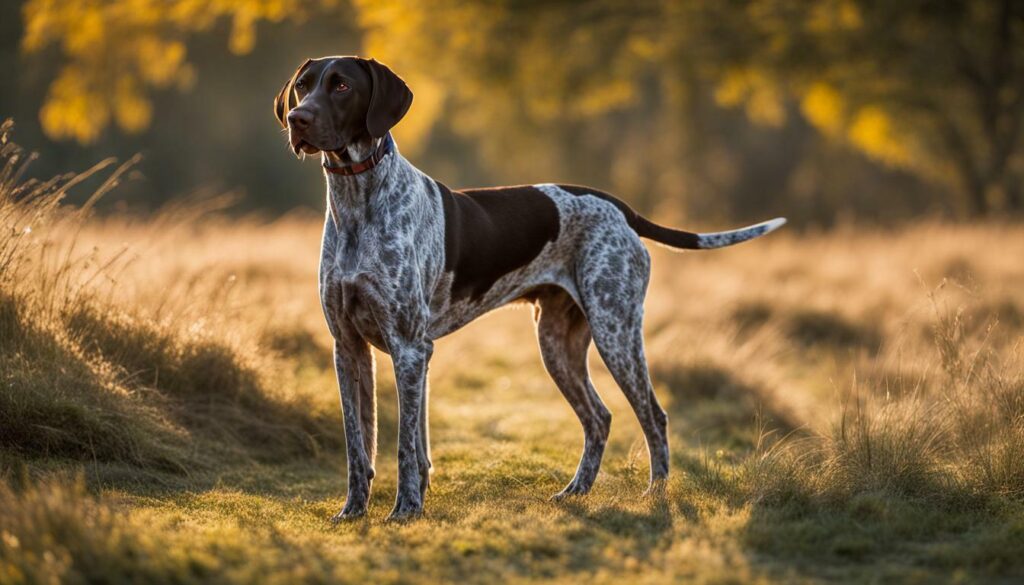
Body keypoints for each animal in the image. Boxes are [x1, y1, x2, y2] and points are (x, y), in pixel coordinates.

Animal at [272, 57, 782, 520]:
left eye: (341, 86)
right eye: (302, 86)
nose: (298, 120)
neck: (357, 205)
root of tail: (619, 206)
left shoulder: (410, 349)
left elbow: (404, 448)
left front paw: (406, 511)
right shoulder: (349, 348)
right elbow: (360, 445)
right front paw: (353, 511)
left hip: (615, 331)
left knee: (652, 415)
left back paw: (655, 494)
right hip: (557, 342)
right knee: (599, 417)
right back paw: (576, 491)